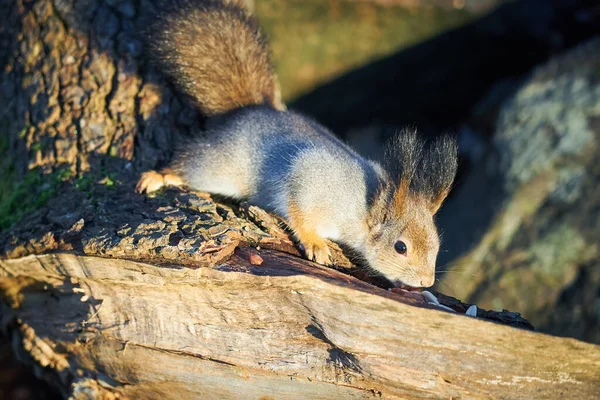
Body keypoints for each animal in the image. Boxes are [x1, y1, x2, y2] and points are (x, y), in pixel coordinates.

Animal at [136, 0, 458, 288]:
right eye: (400, 247)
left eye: (436, 243)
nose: (426, 282)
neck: (364, 206)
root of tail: (252, 111)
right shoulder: (308, 179)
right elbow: (298, 212)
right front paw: (315, 243)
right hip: (218, 166)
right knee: (190, 166)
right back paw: (160, 176)